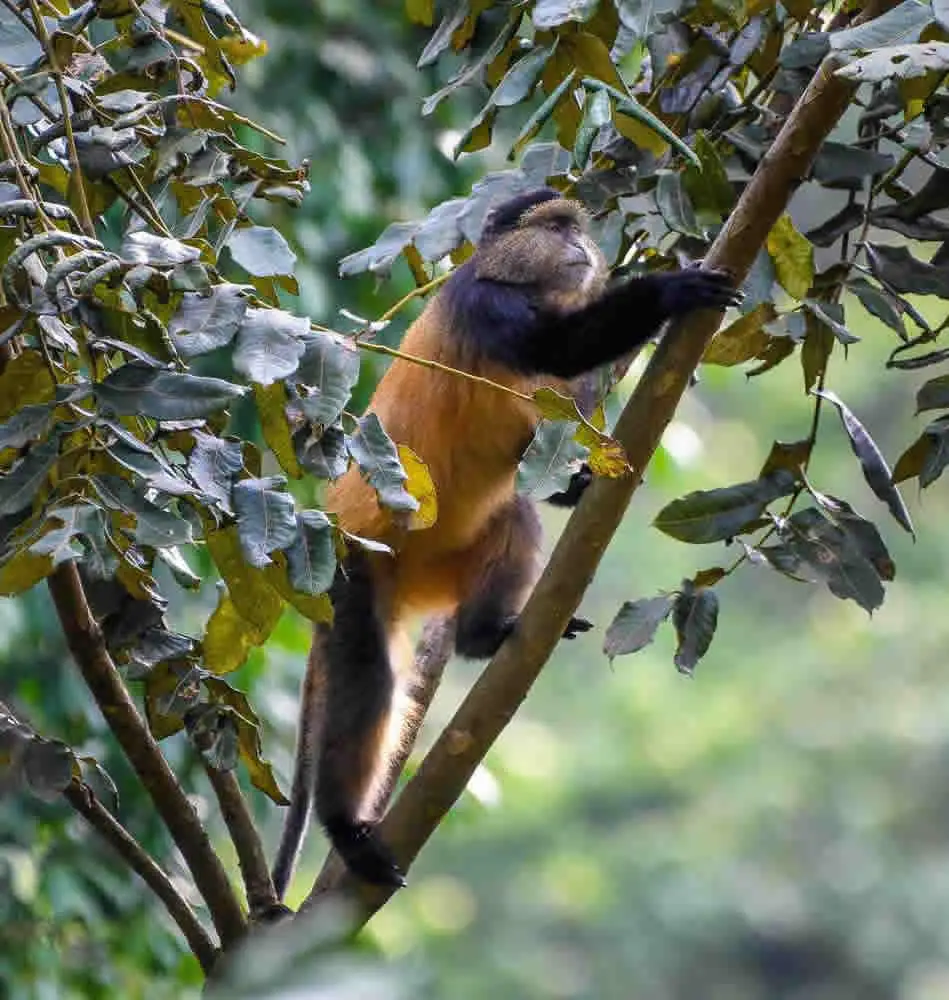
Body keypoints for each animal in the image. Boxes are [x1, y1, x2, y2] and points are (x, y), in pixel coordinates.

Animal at [271, 187, 741, 895]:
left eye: (575, 228)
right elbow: (563, 348)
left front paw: (583, 484)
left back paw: (482, 636)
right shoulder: (485, 303)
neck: (515, 277)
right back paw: (346, 830)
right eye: (554, 227)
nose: (579, 247)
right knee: (371, 680)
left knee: (516, 516)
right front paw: (671, 289)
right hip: (357, 574)